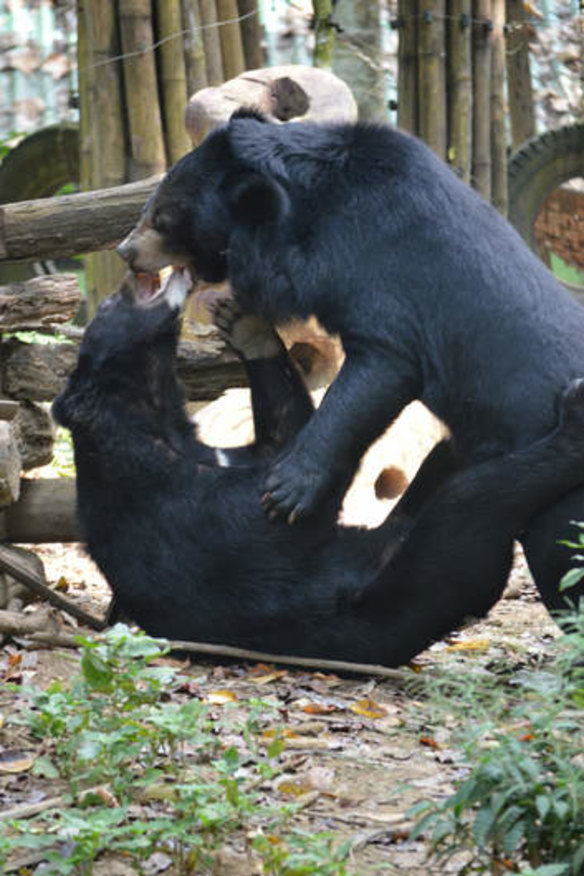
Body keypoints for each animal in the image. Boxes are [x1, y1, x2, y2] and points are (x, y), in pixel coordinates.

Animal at [53, 268, 584, 665]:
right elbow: (283, 510)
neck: (154, 419)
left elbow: (285, 440)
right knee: (476, 499)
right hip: (424, 575)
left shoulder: (214, 452)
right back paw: (567, 422)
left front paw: (247, 326)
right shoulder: (184, 512)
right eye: (108, 309)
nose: (129, 277)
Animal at [116, 110, 584, 615]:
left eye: (163, 217)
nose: (125, 251)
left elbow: (373, 374)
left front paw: (286, 492)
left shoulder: (379, 276)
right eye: (152, 207)